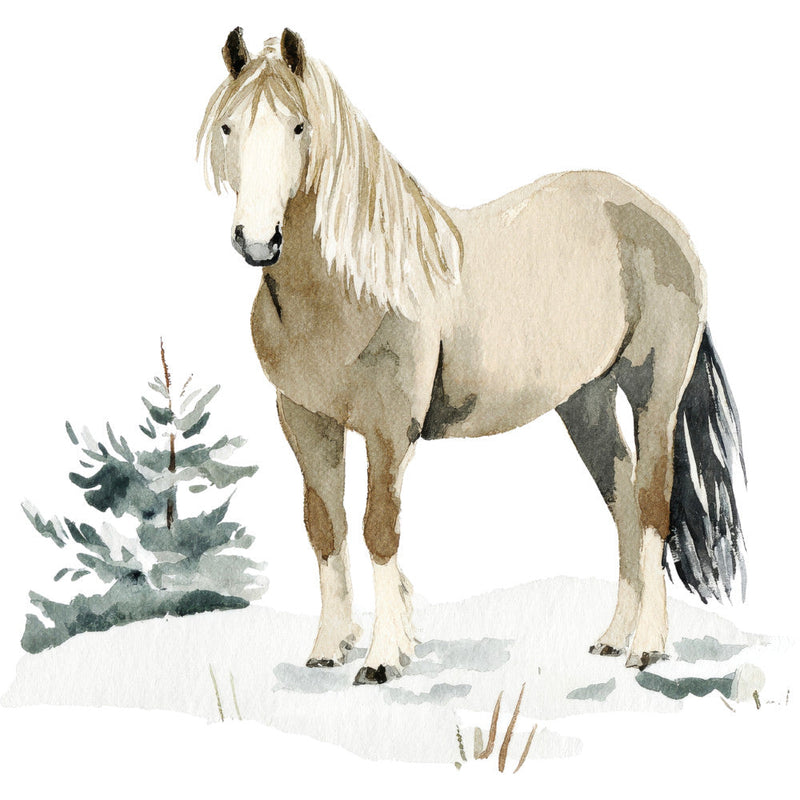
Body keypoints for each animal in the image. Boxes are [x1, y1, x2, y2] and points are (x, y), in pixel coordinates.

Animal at [198, 28, 745, 684]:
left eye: (300, 127)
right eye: (228, 127)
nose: (258, 240)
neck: (352, 289)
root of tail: (664, 222)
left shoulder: (390, 429)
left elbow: (379, 528)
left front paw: (382, 659)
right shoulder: (304, 420)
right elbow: (324, 528)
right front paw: (329, 647)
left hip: (652, 395)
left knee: (651, 505)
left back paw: (648, 647)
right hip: (585, 401)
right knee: (621, 503)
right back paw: (614, 638)